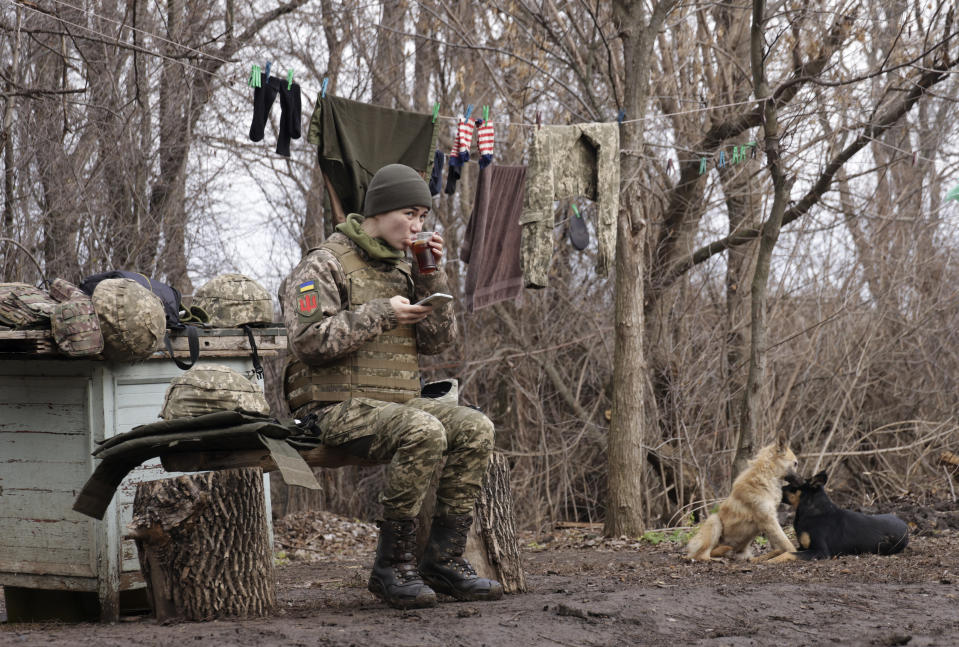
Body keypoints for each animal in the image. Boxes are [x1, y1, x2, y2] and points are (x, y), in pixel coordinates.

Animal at [768, 470, 912, 560]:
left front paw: (770, 562)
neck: (812, 511)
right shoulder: (803, 547)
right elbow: (780, 550)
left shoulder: (821, 551)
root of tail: (905, 526)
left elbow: (787, 554)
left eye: (792, 486)